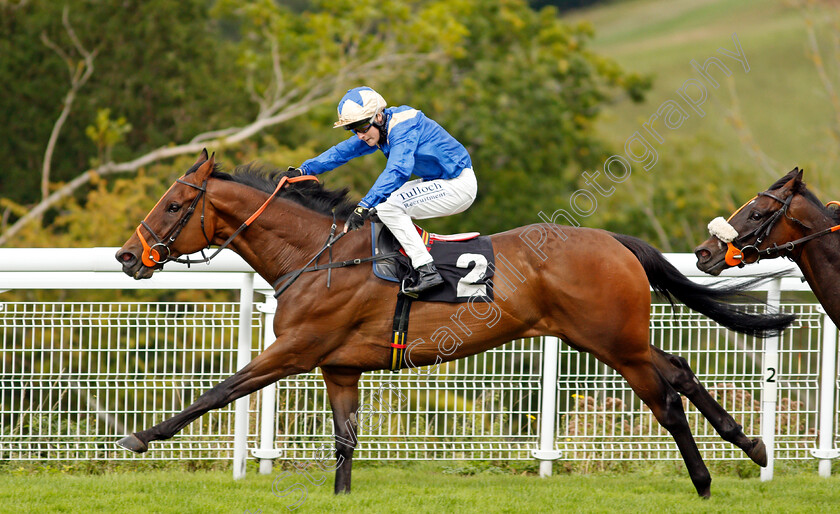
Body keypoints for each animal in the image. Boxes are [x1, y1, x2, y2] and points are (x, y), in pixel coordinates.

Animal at [113, 151, 796, 496]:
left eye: (174, 205)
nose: (125, 256)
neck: (319, 254)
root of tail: (614, 241)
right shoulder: (338, 366)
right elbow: (344, 439)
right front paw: (341, 495)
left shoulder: (297, 349)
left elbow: (223, 389)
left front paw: (140, 437)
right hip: (611, 338)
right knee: (678, 370)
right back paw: (750, 444)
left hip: (613, 341)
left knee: (666, 396)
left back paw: (705, 478)